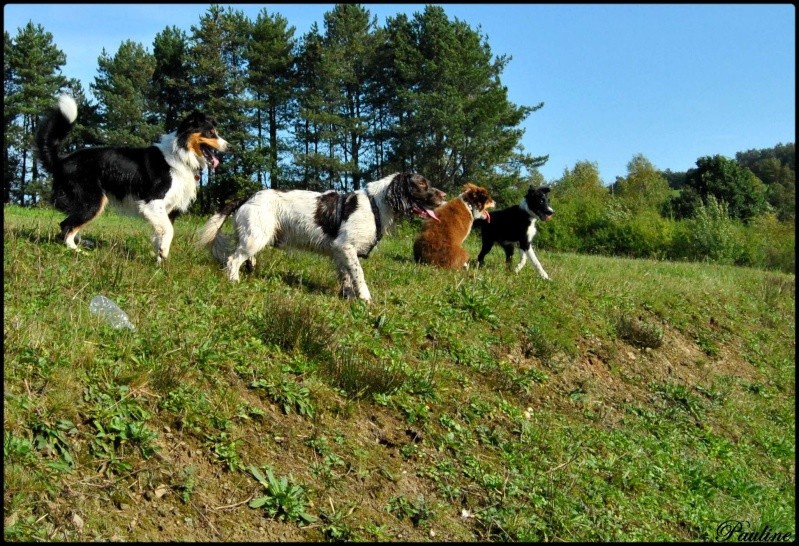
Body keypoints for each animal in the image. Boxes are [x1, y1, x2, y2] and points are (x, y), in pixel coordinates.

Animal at [38, 93, 231, 262]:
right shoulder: (153, 202)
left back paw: (83, 243)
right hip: (92, 202)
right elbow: (169, 231)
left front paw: (159, 261)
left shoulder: (164, 209)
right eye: (211, 133)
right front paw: (163, 254)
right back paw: (78, 251)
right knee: (65, 227)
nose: (229, 147)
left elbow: (160, 234)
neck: (180, 154)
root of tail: (62, 160)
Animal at [197, 173, 446, 302]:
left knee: (245, 258)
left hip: (253, 237)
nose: (444, 195)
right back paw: (234, 281)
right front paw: (365, 299)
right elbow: (359, 275)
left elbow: (346, 276)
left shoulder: (339, 252)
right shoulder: (346, 246)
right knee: (232, 260)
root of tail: (247, 196)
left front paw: (348, 296)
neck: (375, 204)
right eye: (422, 183)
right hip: (255, 237)